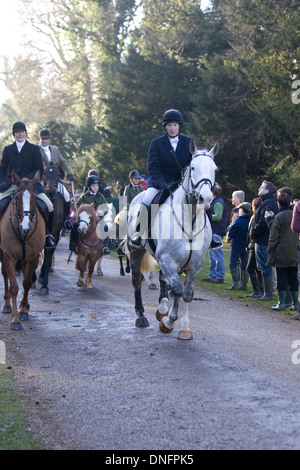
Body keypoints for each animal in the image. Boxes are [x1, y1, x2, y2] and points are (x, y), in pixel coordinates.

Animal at [0, 170, 45, 330]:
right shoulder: (8, 255)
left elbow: (26, 283)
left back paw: (24, 306)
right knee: (5, 274)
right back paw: (7, 304)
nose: (26, 227)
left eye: (34, 197)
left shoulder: (34, 256)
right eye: (17, 197)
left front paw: (23, 310)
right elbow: (14, 286)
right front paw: (15, 319)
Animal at [126, 139, 218, 338]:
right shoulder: (168, 258)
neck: (190, 219)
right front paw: (169, 322)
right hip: (136, 251)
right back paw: (141, 316)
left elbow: (187, 293)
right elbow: (177, 289)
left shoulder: (195, 265)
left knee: (163, 278)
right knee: (136, 280)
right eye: (193, 167)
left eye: (215, 169)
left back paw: (161, 308)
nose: (206, 198)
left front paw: (184, 328)